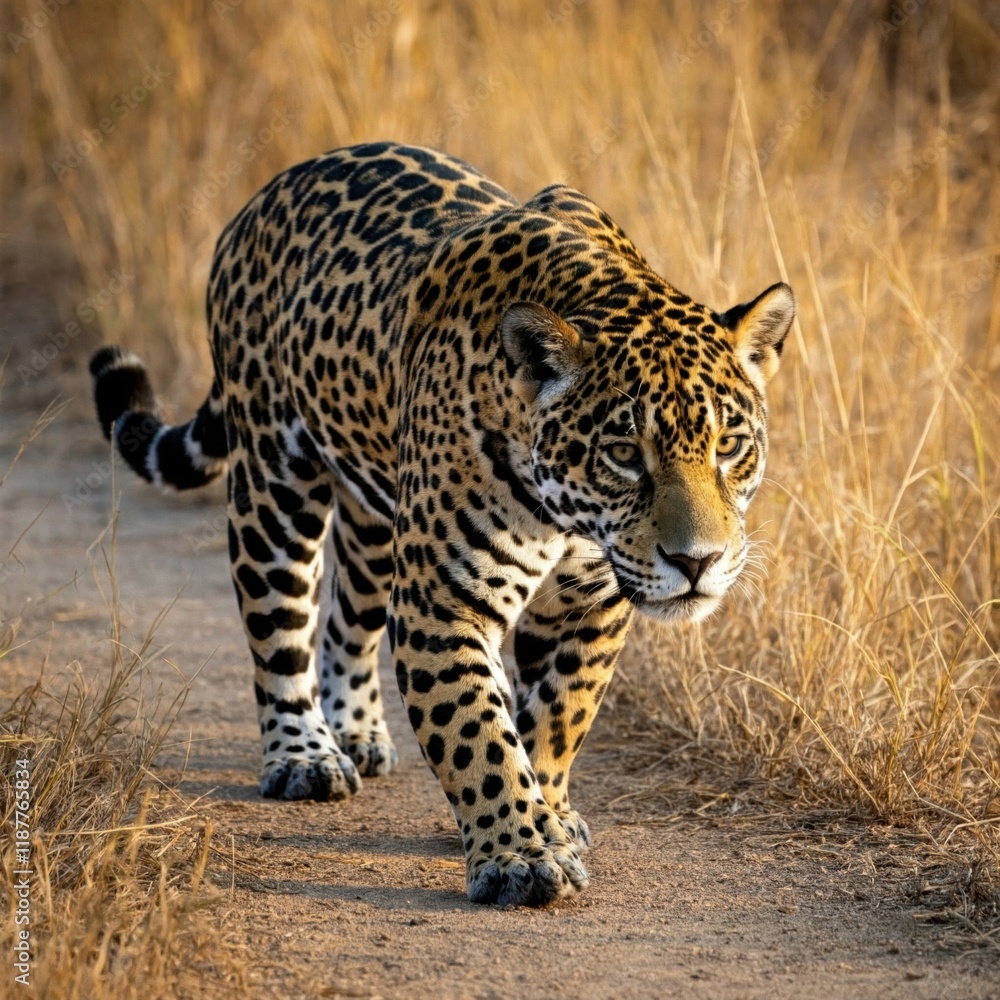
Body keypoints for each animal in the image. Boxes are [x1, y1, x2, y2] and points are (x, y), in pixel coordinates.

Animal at [89, 141, 794, 907]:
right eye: (624, 454)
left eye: (729, 445)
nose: (697, 561)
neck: (564, 515)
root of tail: (267, 193)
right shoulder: (442, 601)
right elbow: (476, 733)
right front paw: (521, 856)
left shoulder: (590, 602)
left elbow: (556, 717)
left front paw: (547, 815)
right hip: (274, 484)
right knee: (279, 627)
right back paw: (305, 755)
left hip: (374, 519)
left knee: (348, 620)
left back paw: (358, 732)